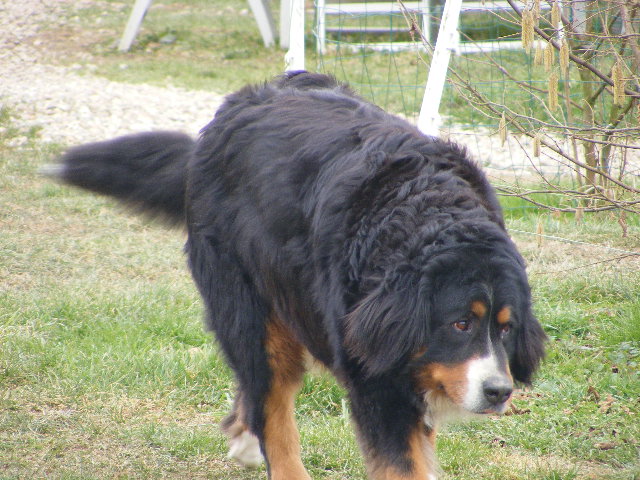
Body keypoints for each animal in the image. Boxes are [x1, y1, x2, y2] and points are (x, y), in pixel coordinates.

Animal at [51, 71, 552, 480]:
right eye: (460, 323)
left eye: (506, 329)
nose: (499, 391)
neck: (425, 213)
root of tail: (230, 113)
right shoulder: (376, 374)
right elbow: (400, 463)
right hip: (251, 306)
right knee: (270, 403)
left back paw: (242, 434)